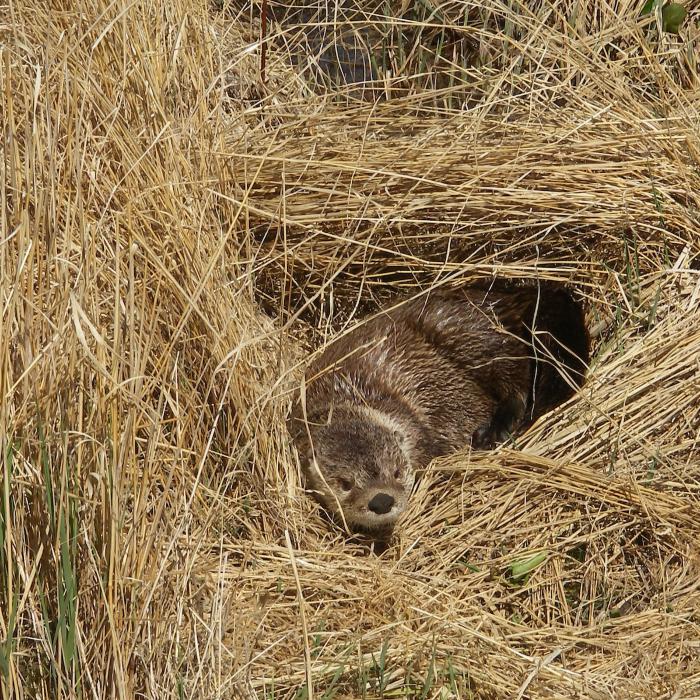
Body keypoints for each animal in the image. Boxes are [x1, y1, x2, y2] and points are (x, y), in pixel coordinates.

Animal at [289, 283, 589, 536]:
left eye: (397, 472)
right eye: (345, 483)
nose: (382, 500)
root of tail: (506, 296)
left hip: (461, 330)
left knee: (517, 378)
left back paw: (495, 430)